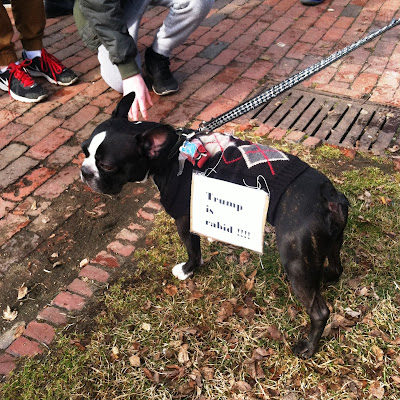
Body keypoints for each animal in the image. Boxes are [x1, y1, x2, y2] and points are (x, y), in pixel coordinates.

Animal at [82, 94, 350, 360]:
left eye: (106, 165)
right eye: (84, 150)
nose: (84, 171)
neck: (170, 155)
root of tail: (328, 197)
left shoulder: (183, 217)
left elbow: (193, 250)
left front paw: (187, 270)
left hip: (296, 259)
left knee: (319, 312)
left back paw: (308, 347)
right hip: (329, 242)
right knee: (337, 265)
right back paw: (327, 276)